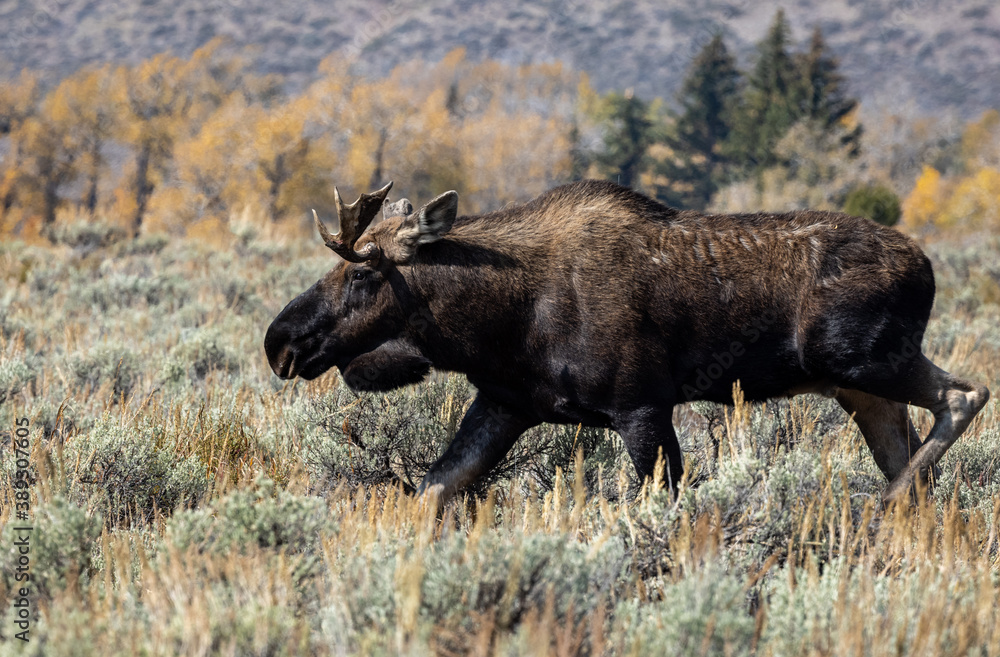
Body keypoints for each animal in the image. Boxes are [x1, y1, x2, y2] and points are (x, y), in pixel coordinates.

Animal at [265, 179, 989, 506]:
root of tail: (927, 263)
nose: (280, 341)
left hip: (863, 357)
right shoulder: (504, 404)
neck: (500, 322)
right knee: (910, 448)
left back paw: (885, 506)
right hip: (858, 387)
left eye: (362, 272)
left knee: (966, 394)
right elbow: (430, 492)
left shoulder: (641, 406)